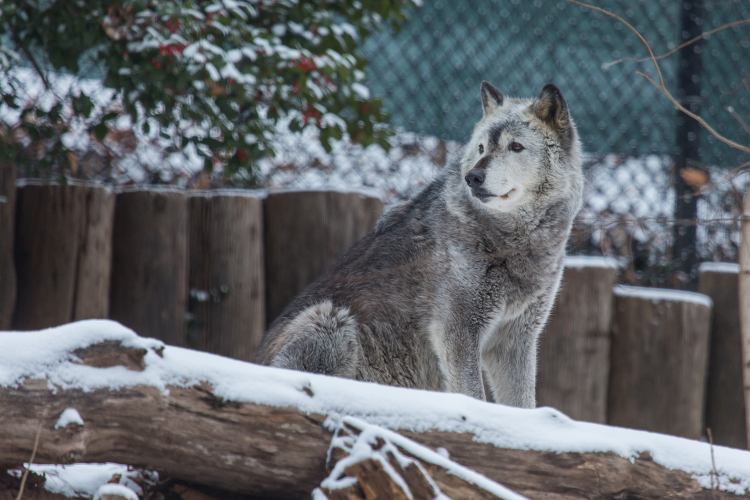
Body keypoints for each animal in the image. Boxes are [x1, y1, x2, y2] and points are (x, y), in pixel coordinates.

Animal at [258, 82, 588, 408]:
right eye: (482, 148)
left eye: (516, 147)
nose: (473, 177)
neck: (513, 245)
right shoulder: (457, 332)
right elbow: (474, 397)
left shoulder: (517, 339)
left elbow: (522, 404)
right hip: (329, 319)